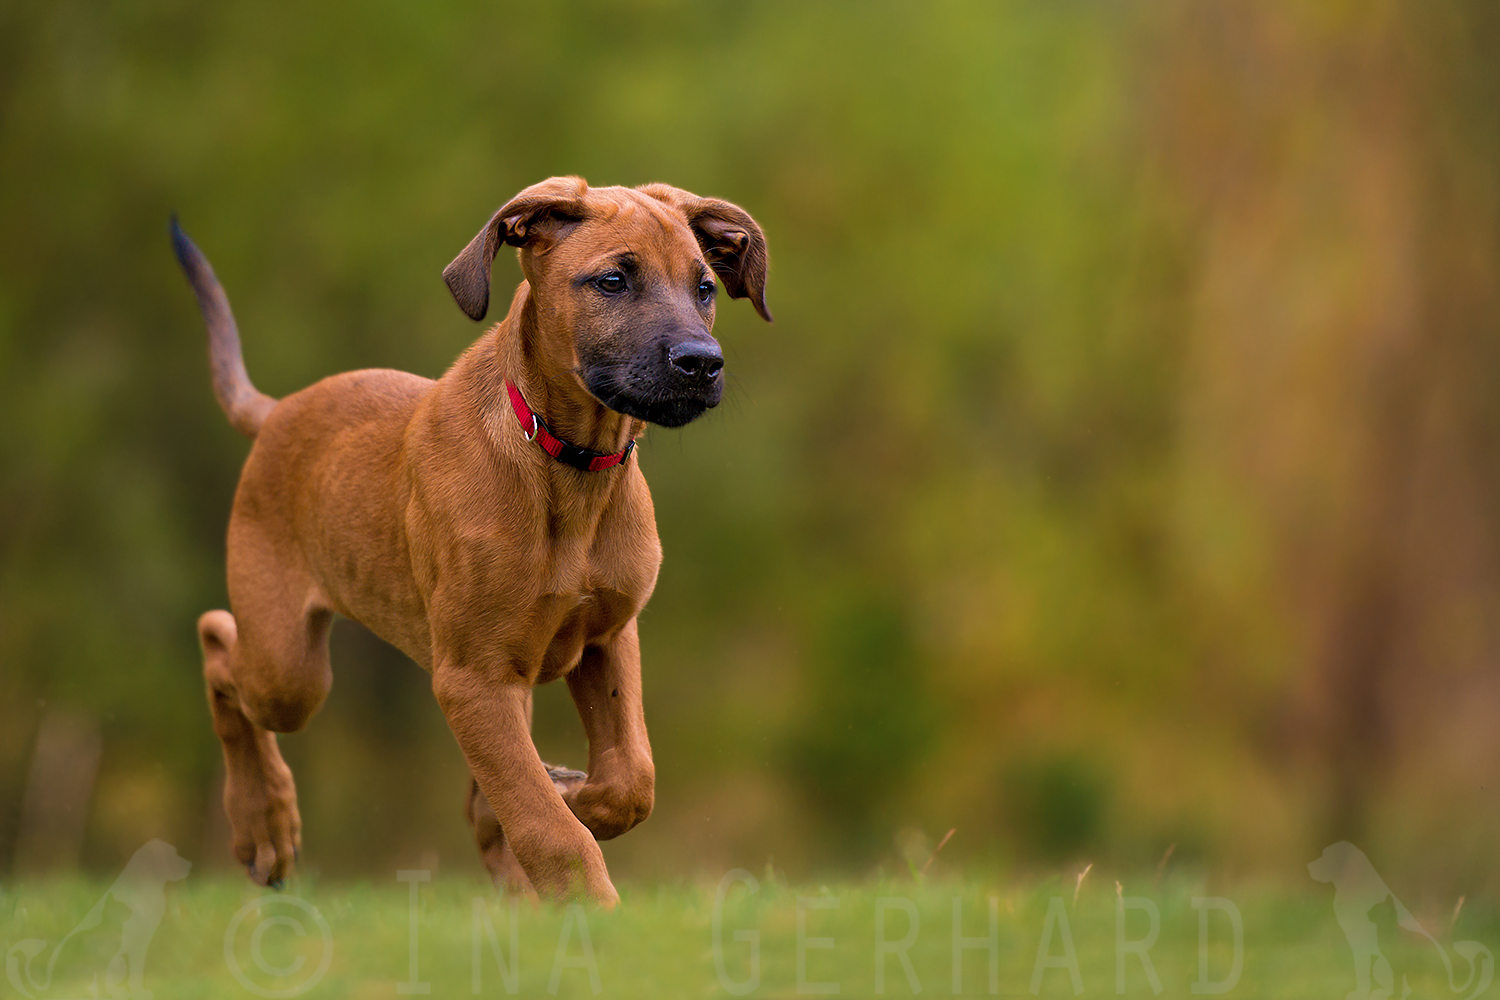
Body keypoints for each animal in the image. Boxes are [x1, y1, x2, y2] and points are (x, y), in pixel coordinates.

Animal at [175, 179, 774, 905]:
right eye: (612, 280)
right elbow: (549, 825)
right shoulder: (474, 679)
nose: (702, 364)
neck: (568, 464)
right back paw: (264, 823)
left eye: (704, 287)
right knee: (218, 643)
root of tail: (277, 411)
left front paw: (553, 798)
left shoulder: (606, 636)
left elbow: (628, 780)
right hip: (290, 670)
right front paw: (590, 902)